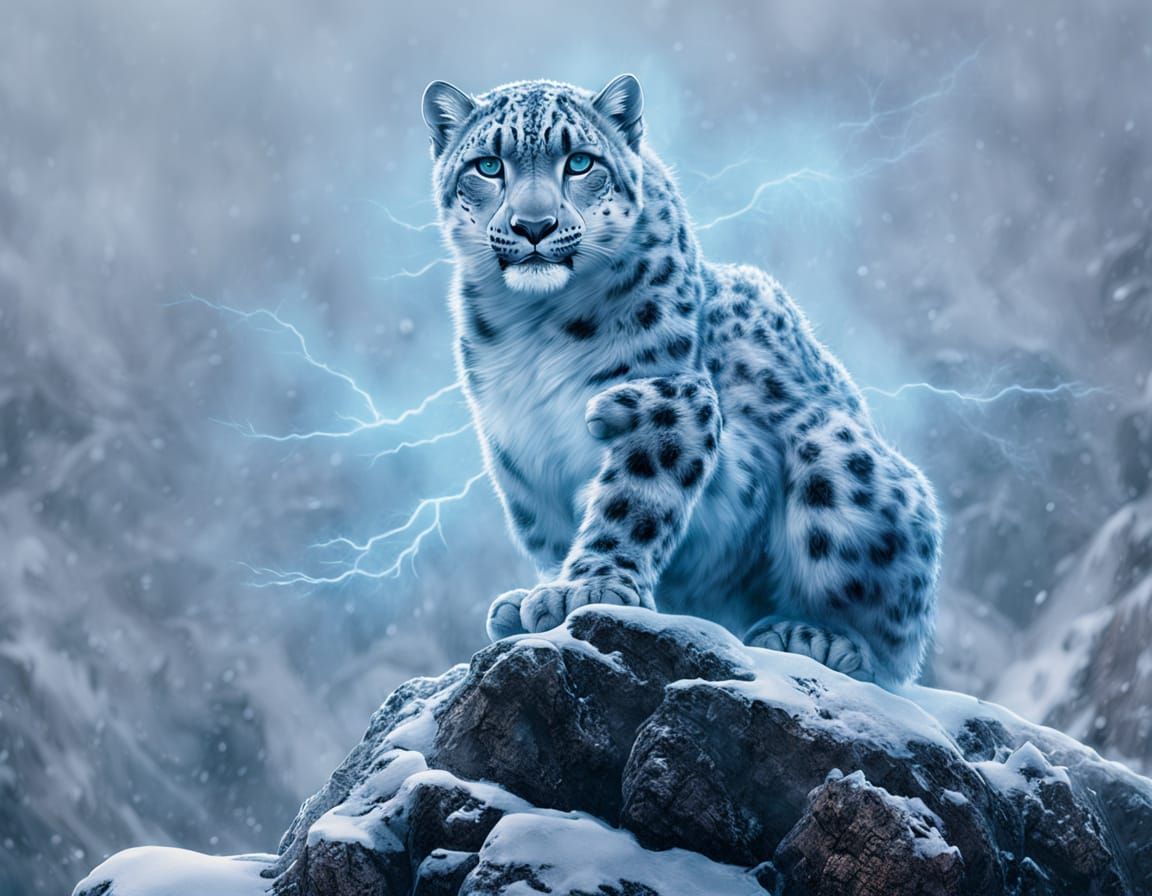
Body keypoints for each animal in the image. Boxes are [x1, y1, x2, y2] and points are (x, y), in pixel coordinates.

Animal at [421, 74, 942, 687]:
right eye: (487, 165)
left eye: (580, 162)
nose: (533, 226)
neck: (532, 323)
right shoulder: (518, 450)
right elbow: (552, 530)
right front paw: (540, 593)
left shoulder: (682, 400)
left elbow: (633, 500)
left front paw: (586, 588)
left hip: (838, 456)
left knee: (889, 651)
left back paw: (814, 635)